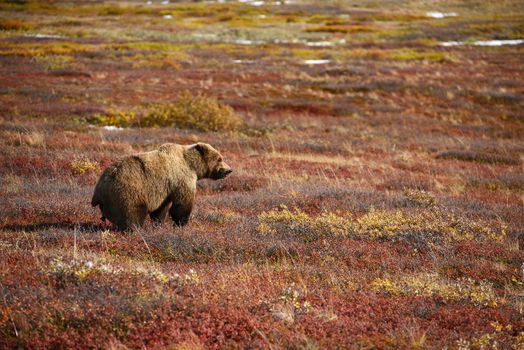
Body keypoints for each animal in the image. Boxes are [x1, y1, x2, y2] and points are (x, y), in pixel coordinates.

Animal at [91, 142, 232, 230]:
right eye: (219, 158)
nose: (229, 170)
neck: (192, 166)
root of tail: (99, 190)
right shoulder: (182, 179)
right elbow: (182, 205)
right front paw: (181, 224)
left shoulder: (165, 190)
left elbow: (161, 209)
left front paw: (159, 223)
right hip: (127, 191)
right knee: (132, 214)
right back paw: (135, 229)